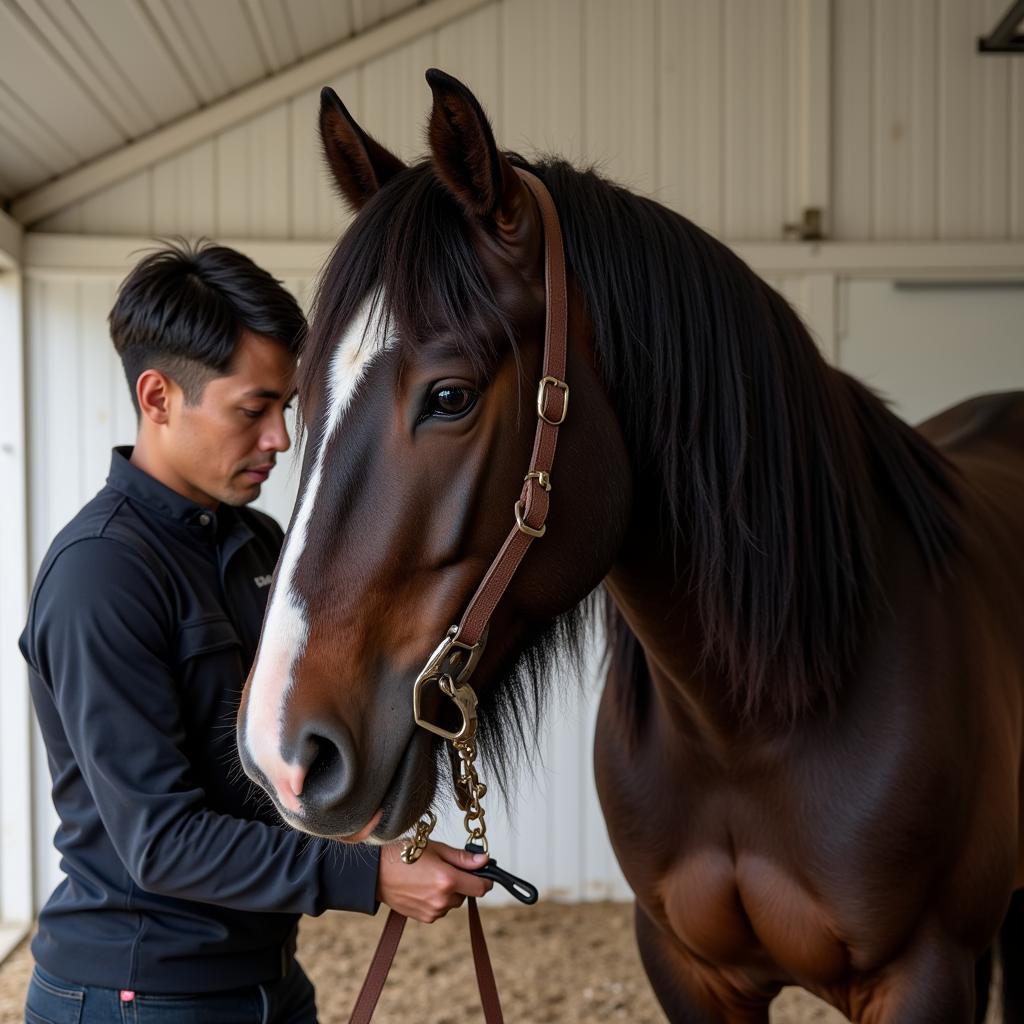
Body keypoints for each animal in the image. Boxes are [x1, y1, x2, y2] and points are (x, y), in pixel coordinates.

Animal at [234, 68, 1024, 1019]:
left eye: (451, 397)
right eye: (298, 400)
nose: (281, 754)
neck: (761, 718)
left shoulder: (926, 973)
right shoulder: (688, 969)